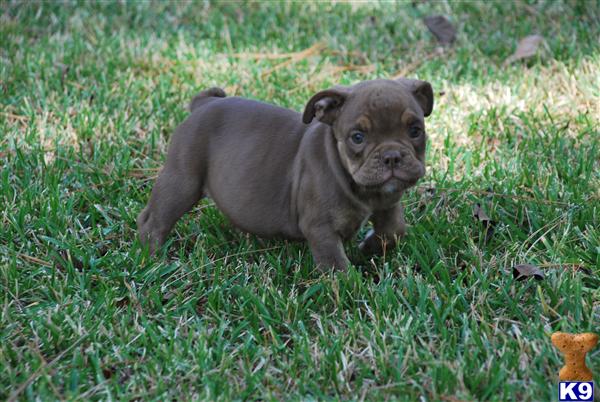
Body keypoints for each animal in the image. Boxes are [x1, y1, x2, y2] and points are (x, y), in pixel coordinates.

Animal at [138, 78, 434, 272]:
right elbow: (337, 266)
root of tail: (204, 103)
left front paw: (370, 247)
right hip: (182, 181)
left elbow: (394, 230)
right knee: (154, 220)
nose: (392, 156)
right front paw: (349, 291)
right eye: (358, 137)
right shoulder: (321, 228)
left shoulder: (388, 202)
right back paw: (153, 258)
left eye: (415, 131)